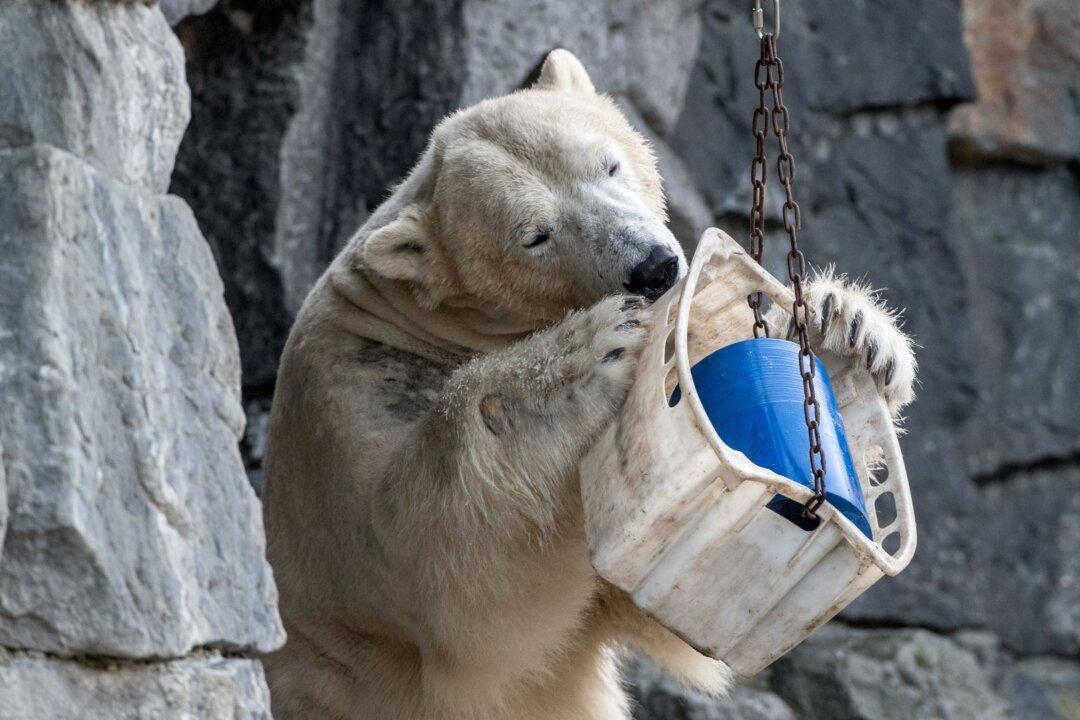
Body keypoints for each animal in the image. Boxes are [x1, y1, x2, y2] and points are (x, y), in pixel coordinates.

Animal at [261, 49, 916, 720]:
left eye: (609, 164)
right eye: (534, 236)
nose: (654, 268)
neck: (414, 316)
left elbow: (661, 601)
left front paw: (848, 329)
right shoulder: (352, 410)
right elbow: (450, 581)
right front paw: (594, 347)